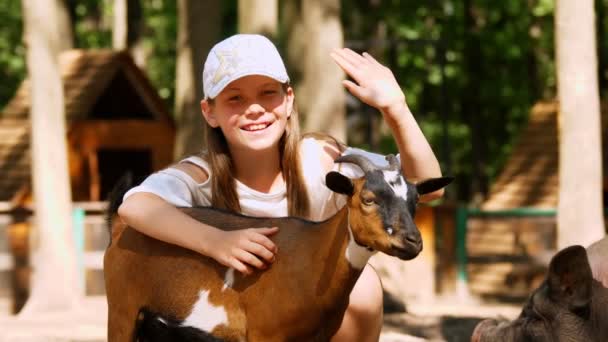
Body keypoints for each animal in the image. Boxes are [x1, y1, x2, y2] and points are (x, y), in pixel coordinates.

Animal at [103, 155, 452, 342]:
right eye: (367, 198)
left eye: (415, 201)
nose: (412, 241)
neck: (310, 258)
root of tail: (120, 224)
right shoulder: (264, 334)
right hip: (122, 311)